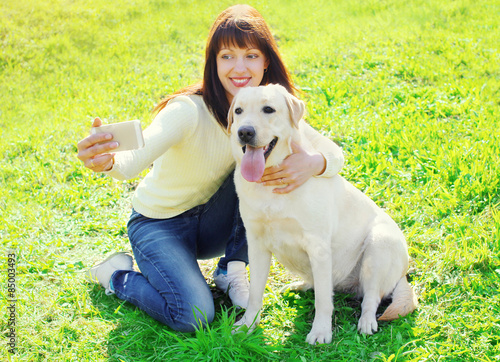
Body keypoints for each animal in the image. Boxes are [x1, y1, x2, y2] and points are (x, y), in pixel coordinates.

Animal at [229, 83, 416, 344]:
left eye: (268, 109)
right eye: (238, 111)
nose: (244, 132)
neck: (269, 184)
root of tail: (403, 275)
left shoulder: (318, 246)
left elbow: (323, 302)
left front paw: (320, 331)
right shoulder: (256, 245)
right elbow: (255, 293)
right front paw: (248, 325)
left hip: (379, 244)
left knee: (370, 298)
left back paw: (366, 322)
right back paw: (299, 285)